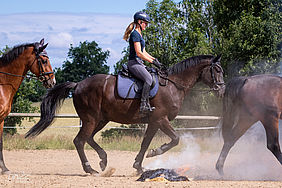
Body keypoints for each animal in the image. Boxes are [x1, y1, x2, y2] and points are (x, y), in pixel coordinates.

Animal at [0, 39, 55, 174]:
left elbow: (0, 142)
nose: (53, 81)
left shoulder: (2, 119)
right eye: (44, 61)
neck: (2, 85)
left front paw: (4, 168)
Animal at [25, 54, 225, 175]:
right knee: (80, 141)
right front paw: (156, 152)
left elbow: (145, 143)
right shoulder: (161, 119)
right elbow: (175, 139)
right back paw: (90, 169)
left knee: (89, 138)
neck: (173, 85)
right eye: (217, 70)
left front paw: (139, 165)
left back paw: (103, 161)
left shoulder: (154, 122)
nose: (222, 90)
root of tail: (78, 84)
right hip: (91, 119)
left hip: (101, 120)